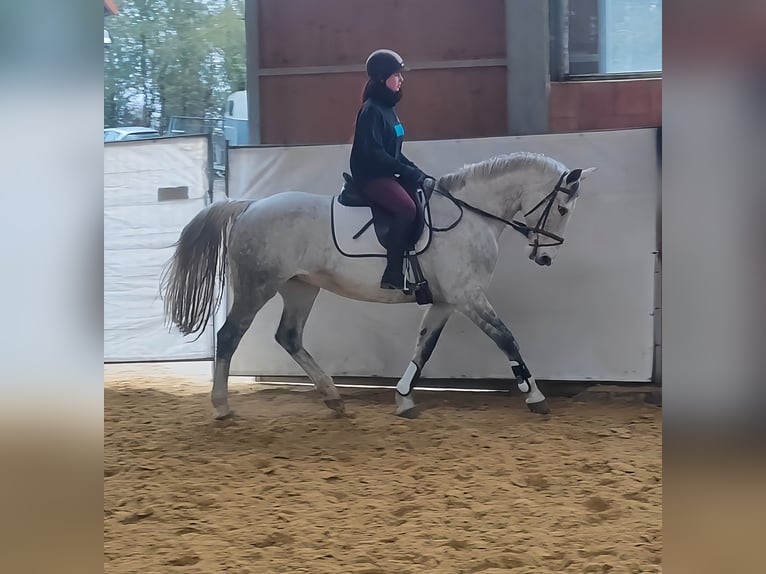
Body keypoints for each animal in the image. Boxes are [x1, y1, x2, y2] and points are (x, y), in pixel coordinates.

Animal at [159, 152, 596, 424]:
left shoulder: (446, 301)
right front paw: (535, 397)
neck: (472, 215)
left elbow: (424, 348)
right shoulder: (468, 296)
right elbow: (507, 339)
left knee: (289, 337)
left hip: (300, 288)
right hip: (257, 287)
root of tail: (249, 206)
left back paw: (333, 398)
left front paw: (404, 399)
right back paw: (221, 407)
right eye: (561, 208)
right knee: (229, 335)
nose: (545, 258)